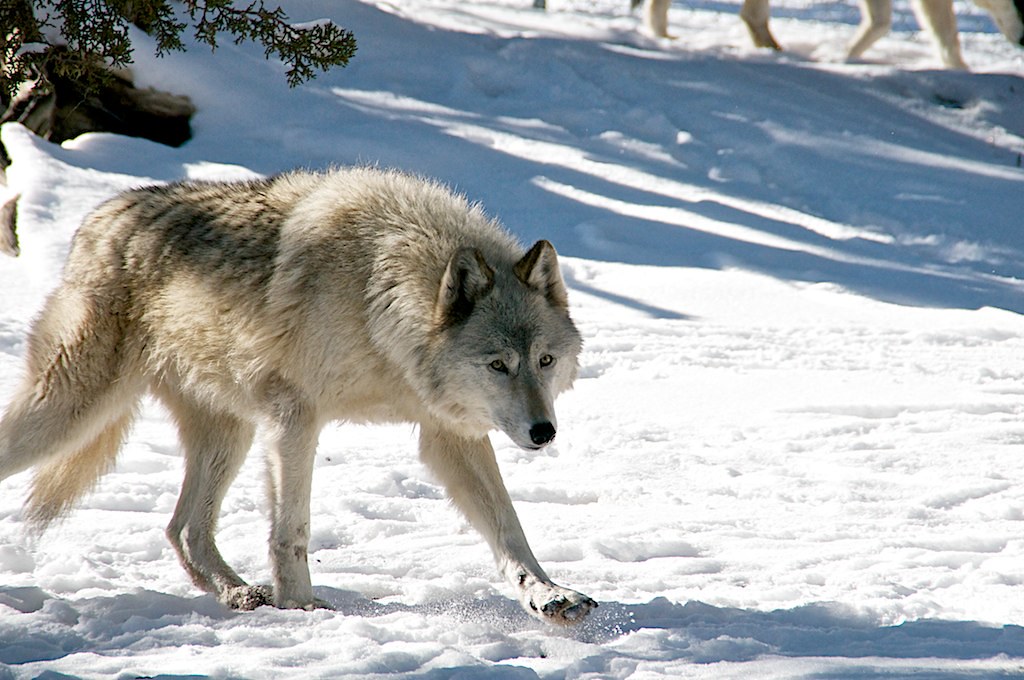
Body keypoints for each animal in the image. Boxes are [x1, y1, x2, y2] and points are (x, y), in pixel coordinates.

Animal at [0, 167, 597, 624]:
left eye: (544, 361)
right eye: (498, 365)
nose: (544, 433)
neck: (376, 299)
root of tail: (99, 216)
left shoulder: (448, 433)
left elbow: (510, 529)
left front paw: (549, 594)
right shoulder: (295, 419)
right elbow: (292, 531)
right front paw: (302, 610)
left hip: (230, 435)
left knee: (183, 530)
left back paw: (241, 594)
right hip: (70, 412)